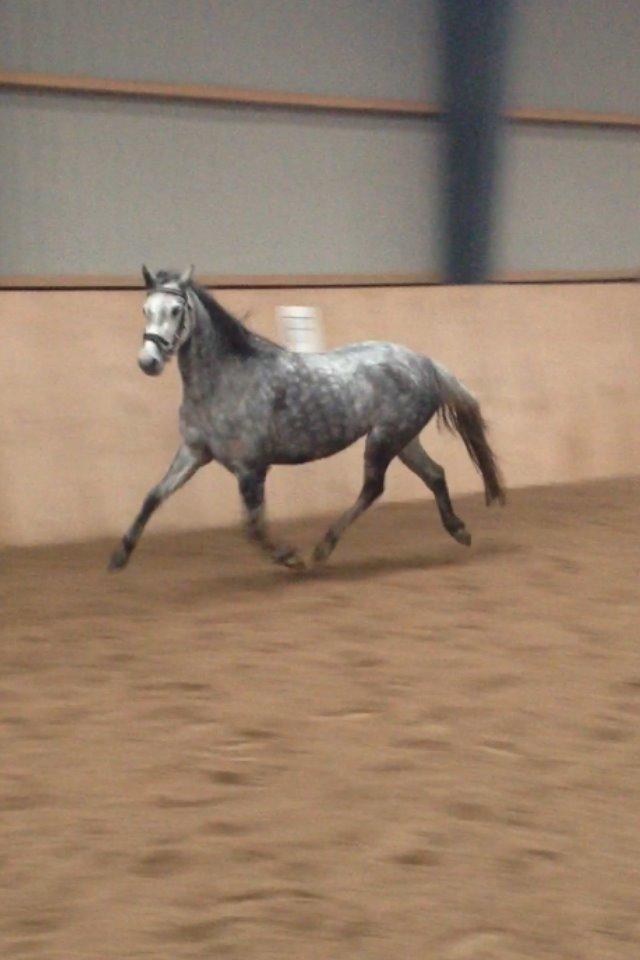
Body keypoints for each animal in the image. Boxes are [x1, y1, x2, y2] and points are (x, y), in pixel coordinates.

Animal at [108, 266, 505, 572]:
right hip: (404, 439)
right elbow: (153, 496)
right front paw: (119, 556)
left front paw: (290, 557)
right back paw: (458, 530)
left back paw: (323, 547)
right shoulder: (193, 452)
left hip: (384, 439)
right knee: (434, 474)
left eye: (177, 309)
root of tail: (424, 362)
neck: (223, 381)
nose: (148, 361)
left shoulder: (251, 468)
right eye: (145, 308)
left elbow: (253, 525)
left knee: (374, 487)